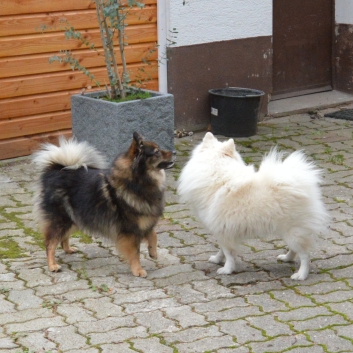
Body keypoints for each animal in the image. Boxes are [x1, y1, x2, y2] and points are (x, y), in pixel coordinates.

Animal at [32, 131, 175, 276]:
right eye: (157, 152)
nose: (174, 152)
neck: (136, 183)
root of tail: (55, 171)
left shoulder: (146, 222)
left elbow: (154, 235)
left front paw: (153, 252)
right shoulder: (130, 229)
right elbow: (135, 252)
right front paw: (138, 270)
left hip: (75, 218)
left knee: (62, 238)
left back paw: (68, 249)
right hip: (61, 219)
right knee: (50, 243)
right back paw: (52, 265)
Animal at [177, 132, 328, 280]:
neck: (217, 174)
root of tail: (302, 184)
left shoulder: (223, 229)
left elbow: (228, 253)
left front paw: (227, 269)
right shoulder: (223, 230)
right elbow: (222, 249)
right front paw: (217, 259)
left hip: (293, 231)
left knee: (305, 255)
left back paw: (301, 275)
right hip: (288, 232)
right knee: (295, 250)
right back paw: (286, 258)